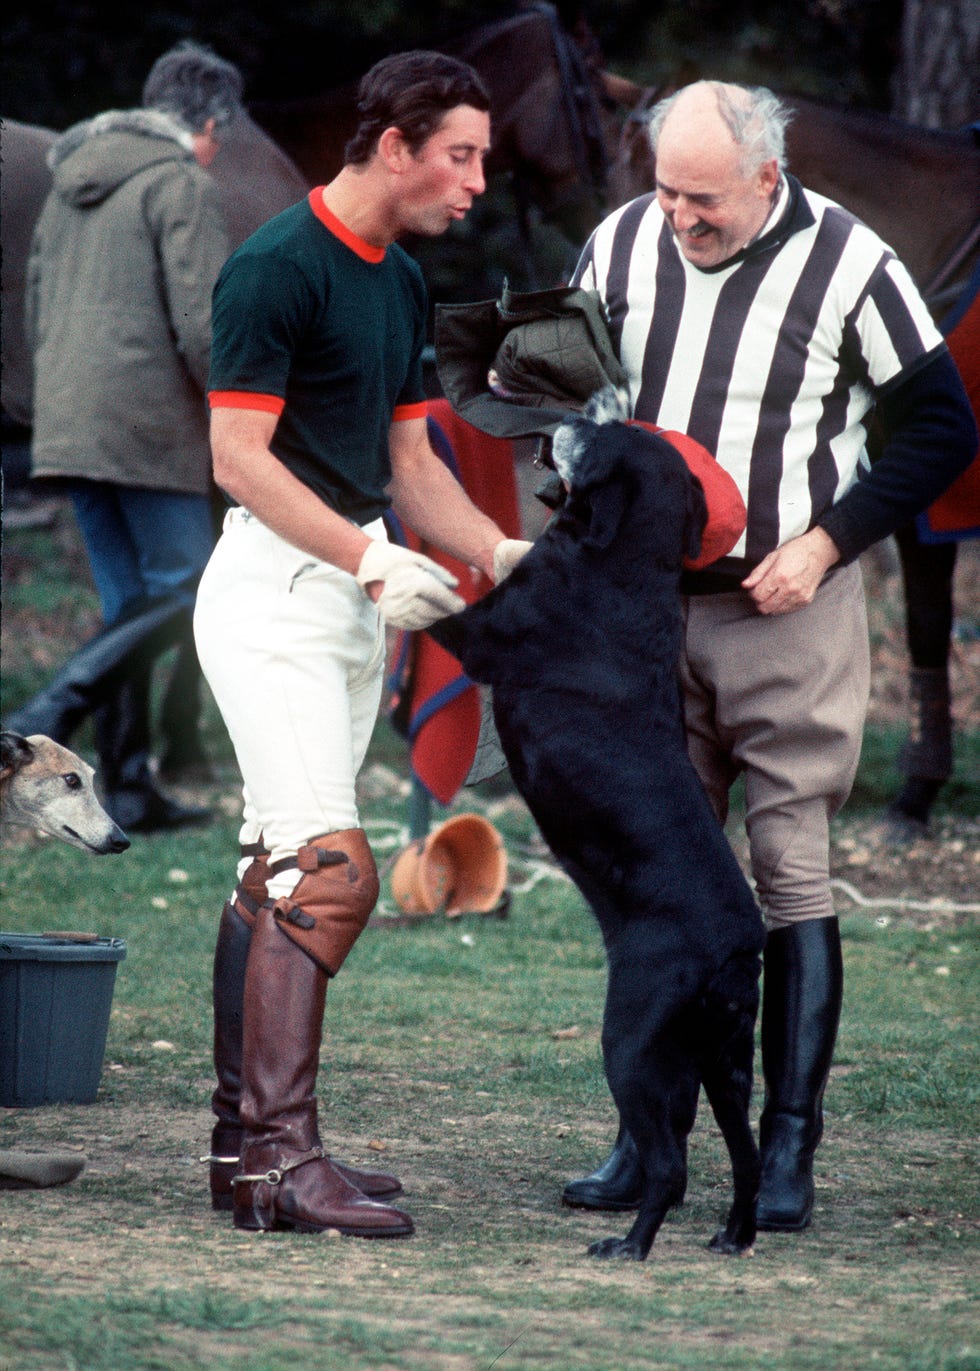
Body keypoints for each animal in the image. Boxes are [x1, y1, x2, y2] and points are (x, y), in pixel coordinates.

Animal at [430, 389, 767, 1261]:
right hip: (723, 1057)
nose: (577, 411)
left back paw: (632, 1244)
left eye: (606, 437)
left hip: (633, 1040)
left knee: (670, 1163)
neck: (624, 562)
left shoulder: (476, 633)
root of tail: (735, 942)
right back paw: (733, 1234)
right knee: (742, 1152)